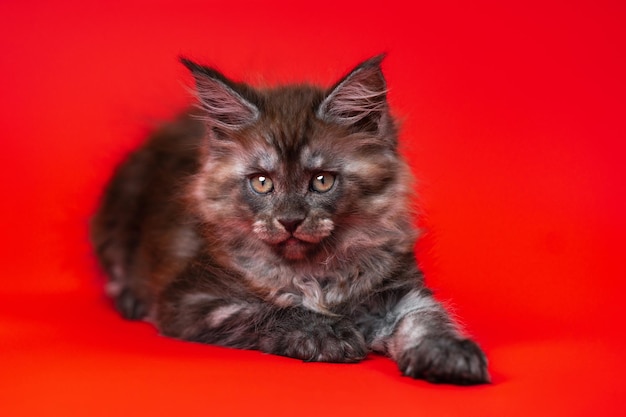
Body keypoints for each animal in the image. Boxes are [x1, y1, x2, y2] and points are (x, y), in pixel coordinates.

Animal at [90, 54, 488, 384]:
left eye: (322, 180)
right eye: (262, 182)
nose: (290, 220)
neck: (312, 270)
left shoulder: (400, 291)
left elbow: (428, 319)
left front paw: (448, 354)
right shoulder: (192, 299)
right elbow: (269, 309)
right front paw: (326, 333)